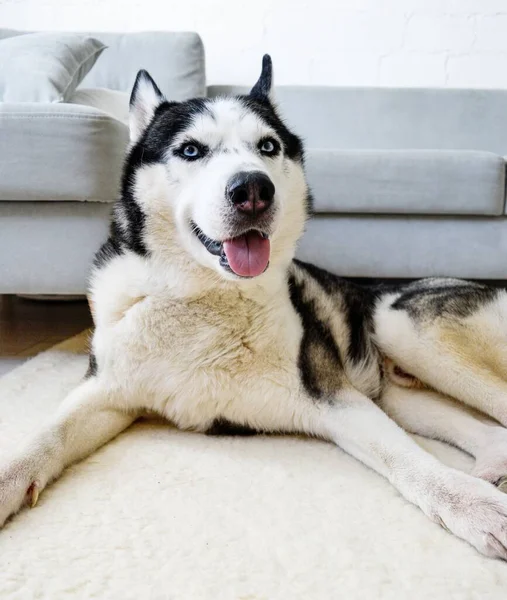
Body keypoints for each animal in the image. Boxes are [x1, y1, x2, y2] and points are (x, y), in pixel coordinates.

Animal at [1, 54, 507, 560]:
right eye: (190, 150)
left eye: (268, 146)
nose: (253, 190)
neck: (204, 297)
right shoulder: (107, 393)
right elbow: (45, 436)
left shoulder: (336, 398)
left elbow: (408, 459)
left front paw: (471, 504)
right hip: (399, 390)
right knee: (490, 432)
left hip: (400, 326)